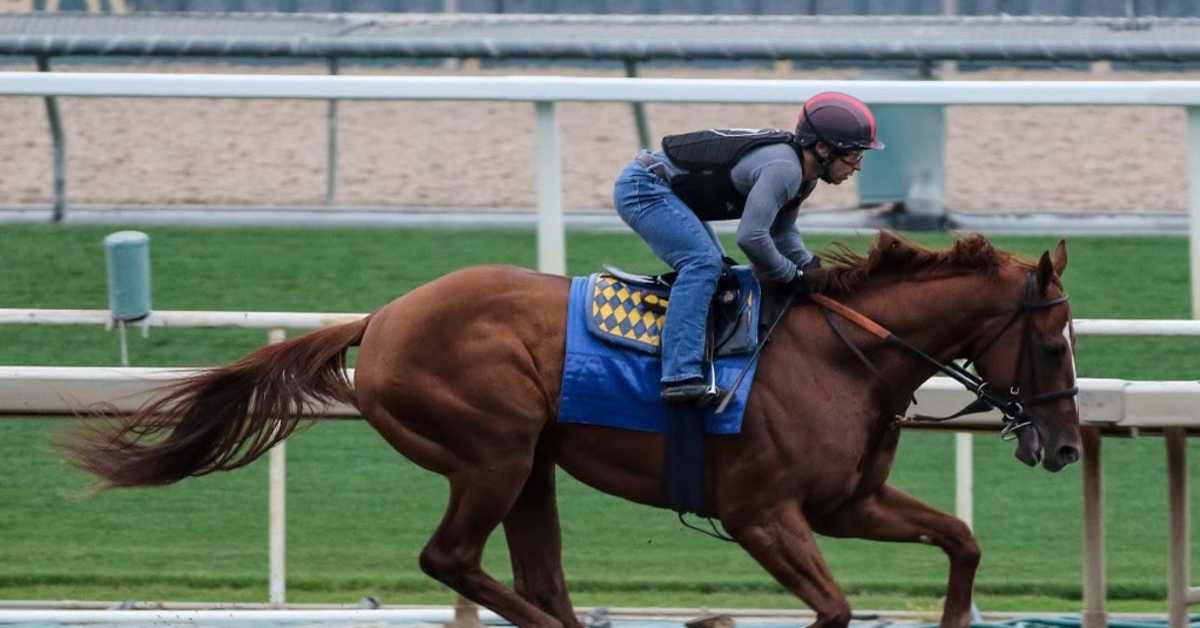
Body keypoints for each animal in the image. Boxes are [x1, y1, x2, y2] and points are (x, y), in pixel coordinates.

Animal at [60, 230, 1084, 628]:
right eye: (1050, 342)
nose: (1068, 446)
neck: (842, 355)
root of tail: (381, 319)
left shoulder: (848, 502)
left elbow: (962, 541)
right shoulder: (762, 514)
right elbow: (833, 606)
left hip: (531, 468)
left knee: (531, 575)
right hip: (493, 447)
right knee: (452, 559)